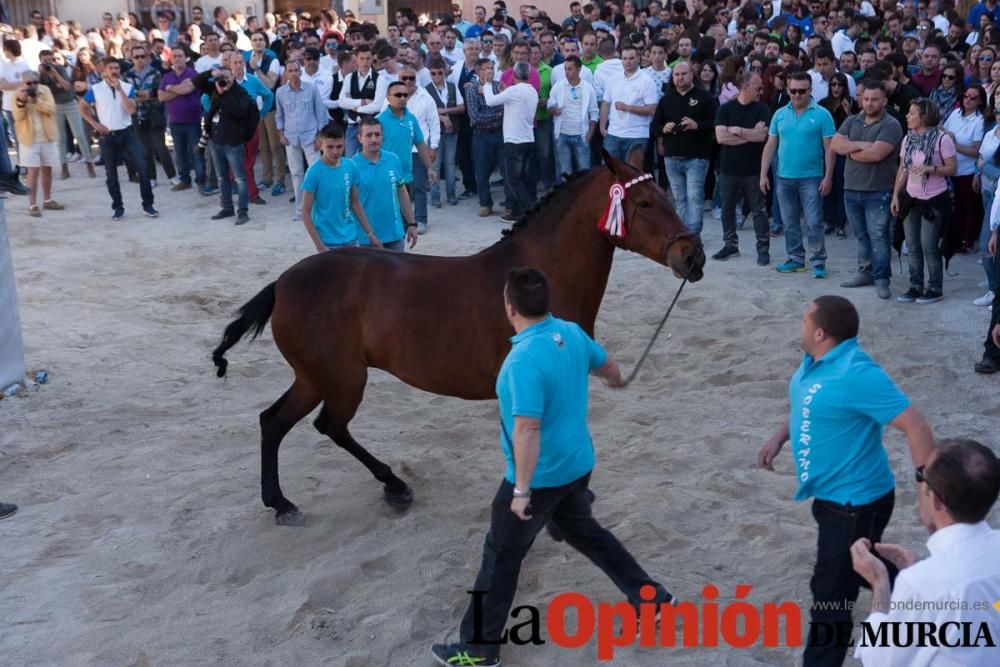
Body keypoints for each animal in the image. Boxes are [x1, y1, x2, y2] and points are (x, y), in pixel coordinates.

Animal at [215, 153, 708, 528]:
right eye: (644, 202)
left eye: (666, 195)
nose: (693, 256)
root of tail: (282, 284)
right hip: (340, 379)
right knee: (324, 426)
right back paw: (378, 488)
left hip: (315, 378)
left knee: (274, 422)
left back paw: (290, 501)